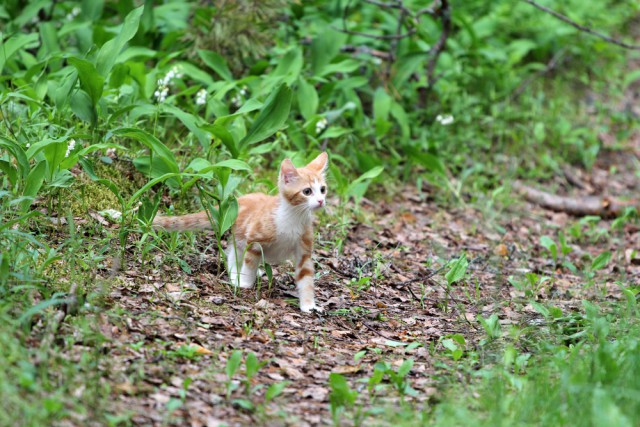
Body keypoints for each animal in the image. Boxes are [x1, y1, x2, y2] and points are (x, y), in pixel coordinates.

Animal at [152, 152, 328, 312]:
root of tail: (240, 199)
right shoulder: (255, 238)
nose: (321, 201)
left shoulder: (303, 250)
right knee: (233, 253)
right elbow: (249, 262)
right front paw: (244, 283)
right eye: (307, 191)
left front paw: (308, 305)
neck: (294, 217)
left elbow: (306, 276)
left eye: (322, 189)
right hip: (241, 234)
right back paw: (235, 274)